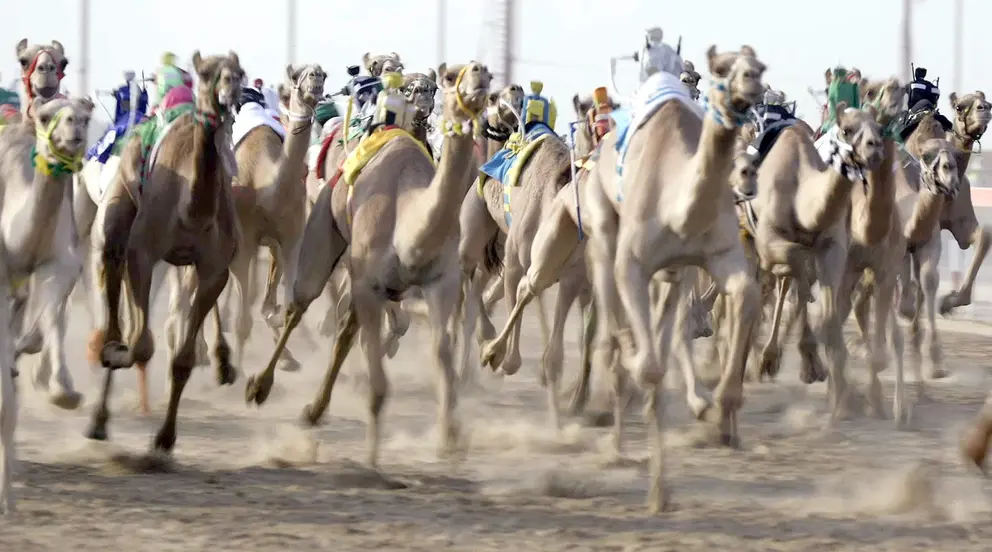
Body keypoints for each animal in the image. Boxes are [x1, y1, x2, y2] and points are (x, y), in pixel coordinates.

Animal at [87, 50, 246, 452]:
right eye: (206, 74)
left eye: (239, 73)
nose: (229, 92)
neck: (191, 211)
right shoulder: (142, 252)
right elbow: (140, 344)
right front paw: (117, 352)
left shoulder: (213, 269)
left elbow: (183, 360)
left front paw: (164, 439)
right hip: (119, 209)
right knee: (112, 271)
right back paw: (99, 413)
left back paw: (222, 362)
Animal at [229, 64, 326, 376]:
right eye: (298, 76)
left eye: (323, 74)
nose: (316, 75)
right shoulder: (243, 243)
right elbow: (243, 319)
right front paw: (234, 372)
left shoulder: (291, 239)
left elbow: (285, 306)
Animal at [246, 61, 494, 466]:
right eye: (450, 76)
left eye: (485, 73)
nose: (478, 74)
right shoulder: (368, 283)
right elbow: (379, 384)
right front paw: (372, 460)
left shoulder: (441, 281)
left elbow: (442, 355)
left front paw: (450, 439)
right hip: (323, 228)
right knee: (299, 305)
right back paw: (260, 386)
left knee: (345, 330)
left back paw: (313, 411)